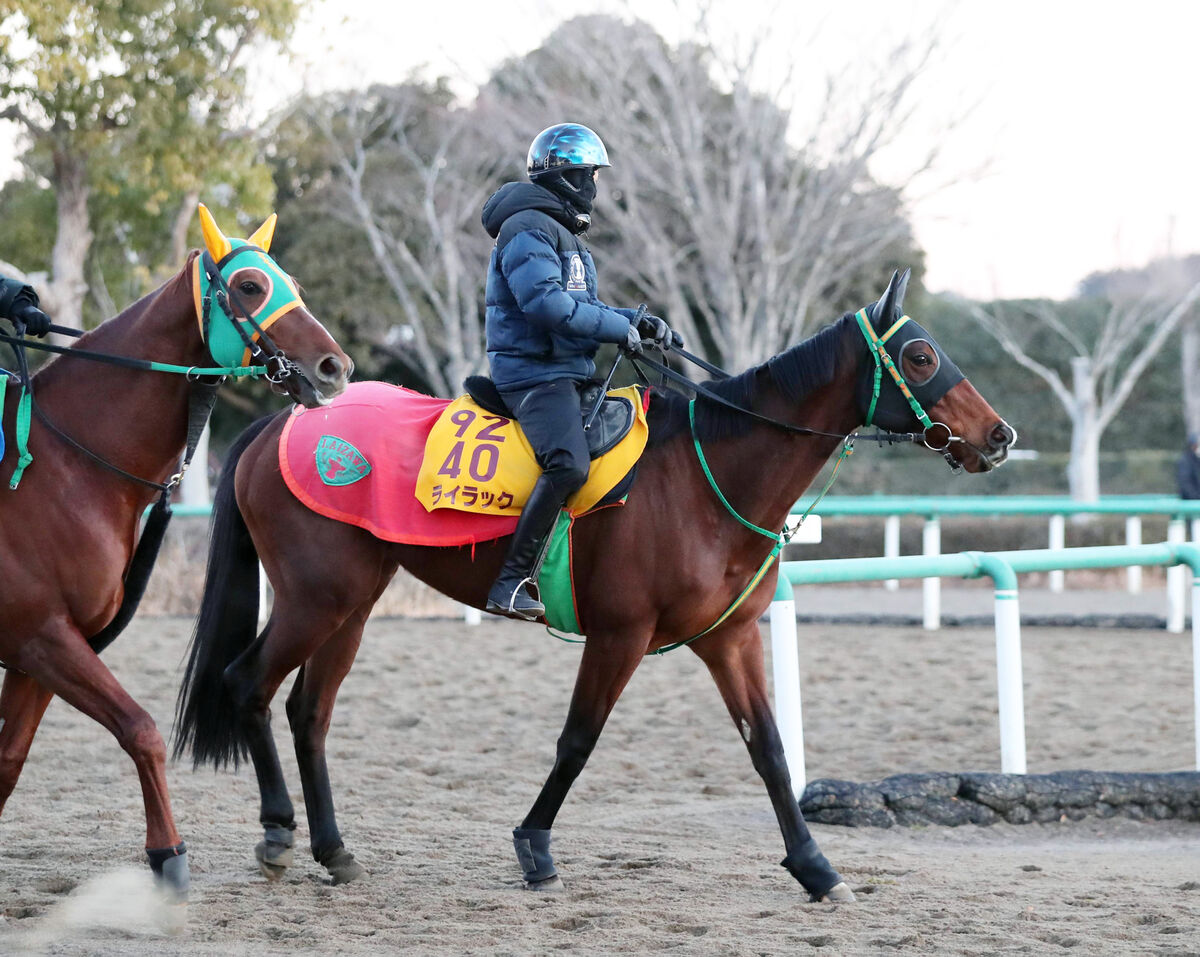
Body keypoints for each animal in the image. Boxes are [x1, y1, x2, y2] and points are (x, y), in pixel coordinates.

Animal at [0, 206, 350, 901]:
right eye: (249, 286)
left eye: (290, 282)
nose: (333, 366)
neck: (63, 463)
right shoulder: (42, 636)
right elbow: (141, 728)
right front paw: (167, 852)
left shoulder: (37, 654)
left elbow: (8, 762)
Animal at [175, 269, 1012, 901]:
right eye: (923, 355)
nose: (999, 435)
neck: (705, 473)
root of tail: (279, 423)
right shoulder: (620, 634)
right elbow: (578, 739)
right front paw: (534, 845)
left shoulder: (729, 638)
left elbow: (769, 748)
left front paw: (815, 866)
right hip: (316, 598)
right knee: (246, 682)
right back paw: (278, 832)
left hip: (352, 601)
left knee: (309, 711)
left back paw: (333, 848)